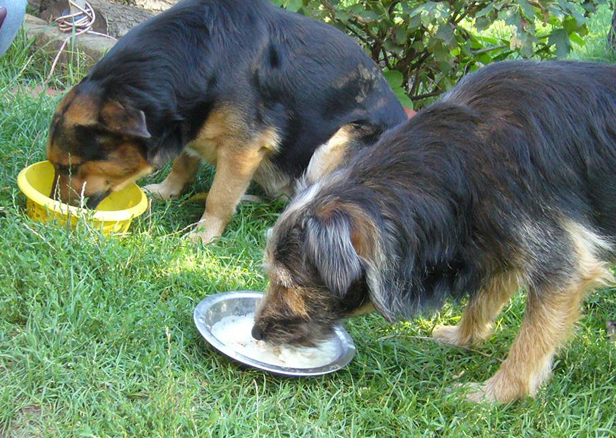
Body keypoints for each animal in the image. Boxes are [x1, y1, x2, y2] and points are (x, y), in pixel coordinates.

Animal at [47, 0, 404, 243]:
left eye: (70, 167)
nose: (55, 204)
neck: (201, 54)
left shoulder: (243, 147)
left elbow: (220, 196)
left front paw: (204, 235)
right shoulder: (191, 125)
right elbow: (183, 164)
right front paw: (167, 191)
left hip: (341, 141)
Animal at [251, 61, 616, 404]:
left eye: (289, 284)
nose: (256, 333)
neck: (461, 162)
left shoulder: (557, 259)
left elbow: (531, 339)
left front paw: (495, 395)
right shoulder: (495, 232)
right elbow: (485, 297)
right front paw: (462, 338)